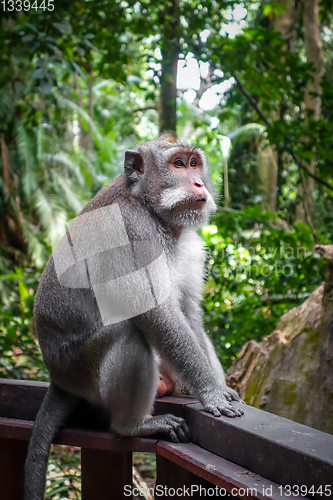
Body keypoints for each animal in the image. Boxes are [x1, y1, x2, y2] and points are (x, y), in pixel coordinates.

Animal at [24, 135, 243, 500]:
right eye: (178, 165)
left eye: (195, 163)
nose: (198, 183)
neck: (150, 209)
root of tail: (57, 376)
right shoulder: (134, 235)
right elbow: (158, 316)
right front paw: (212, 393)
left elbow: (188, 314)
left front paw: (217, 388)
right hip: (79, 369)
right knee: (128, 336)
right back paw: (133, 425)